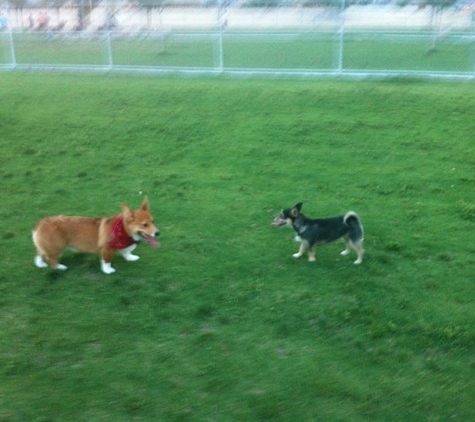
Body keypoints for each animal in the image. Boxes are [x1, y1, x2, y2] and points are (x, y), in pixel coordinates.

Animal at [33, 197, 162, 274]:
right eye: (145, 225)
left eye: (153, 221)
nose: (158, 233)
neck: (124, 231)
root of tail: (41, 223)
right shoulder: (107, 249)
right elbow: (107, 261)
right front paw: (108, 270)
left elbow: (127, 252)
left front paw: (131, 257)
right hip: (57, 248)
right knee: (50, 258)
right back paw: (60, 267)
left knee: (40, 253)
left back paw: (40, 264)